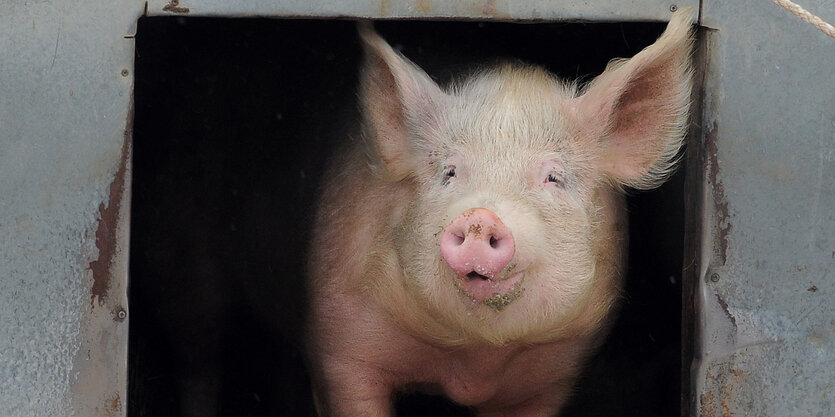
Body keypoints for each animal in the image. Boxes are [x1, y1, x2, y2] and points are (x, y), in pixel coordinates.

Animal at [304, 9, 696, 416]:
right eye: (449, 172)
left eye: (553, 177)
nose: (480, 217)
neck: (476, 360)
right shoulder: (340, 345)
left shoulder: (547, 380)